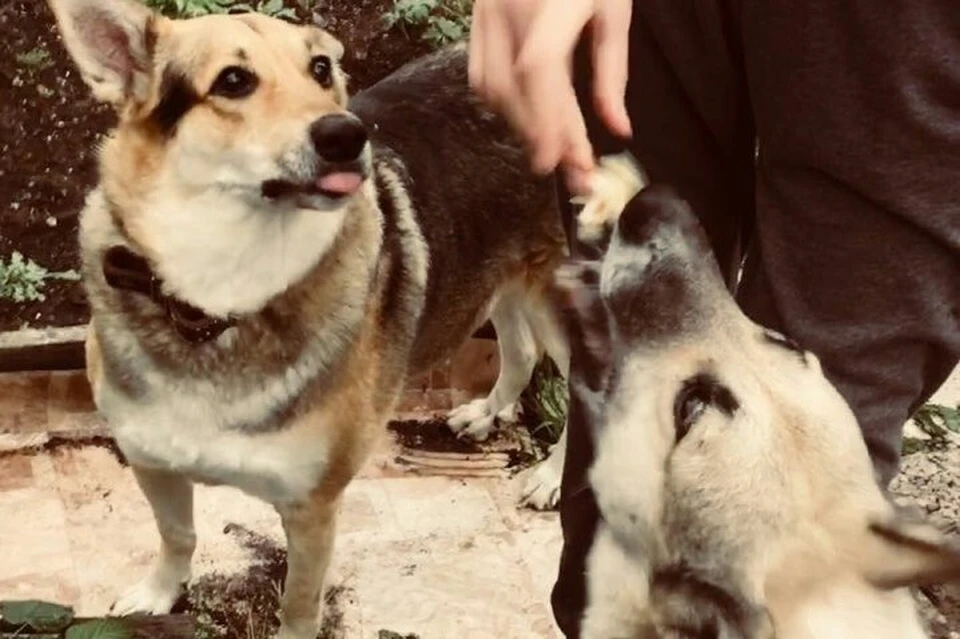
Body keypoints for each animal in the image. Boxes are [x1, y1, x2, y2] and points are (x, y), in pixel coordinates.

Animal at [47, 1, 568, 636]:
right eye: (233, 81)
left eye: (320, 69)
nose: (347, 133)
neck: (218, 303)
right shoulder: (150, 460)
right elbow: (176, 532)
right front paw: (160, 591)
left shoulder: (312, 508)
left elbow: (299, 602)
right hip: (507, 275)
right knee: (521, 349)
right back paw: (488, 412)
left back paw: (551, 478)